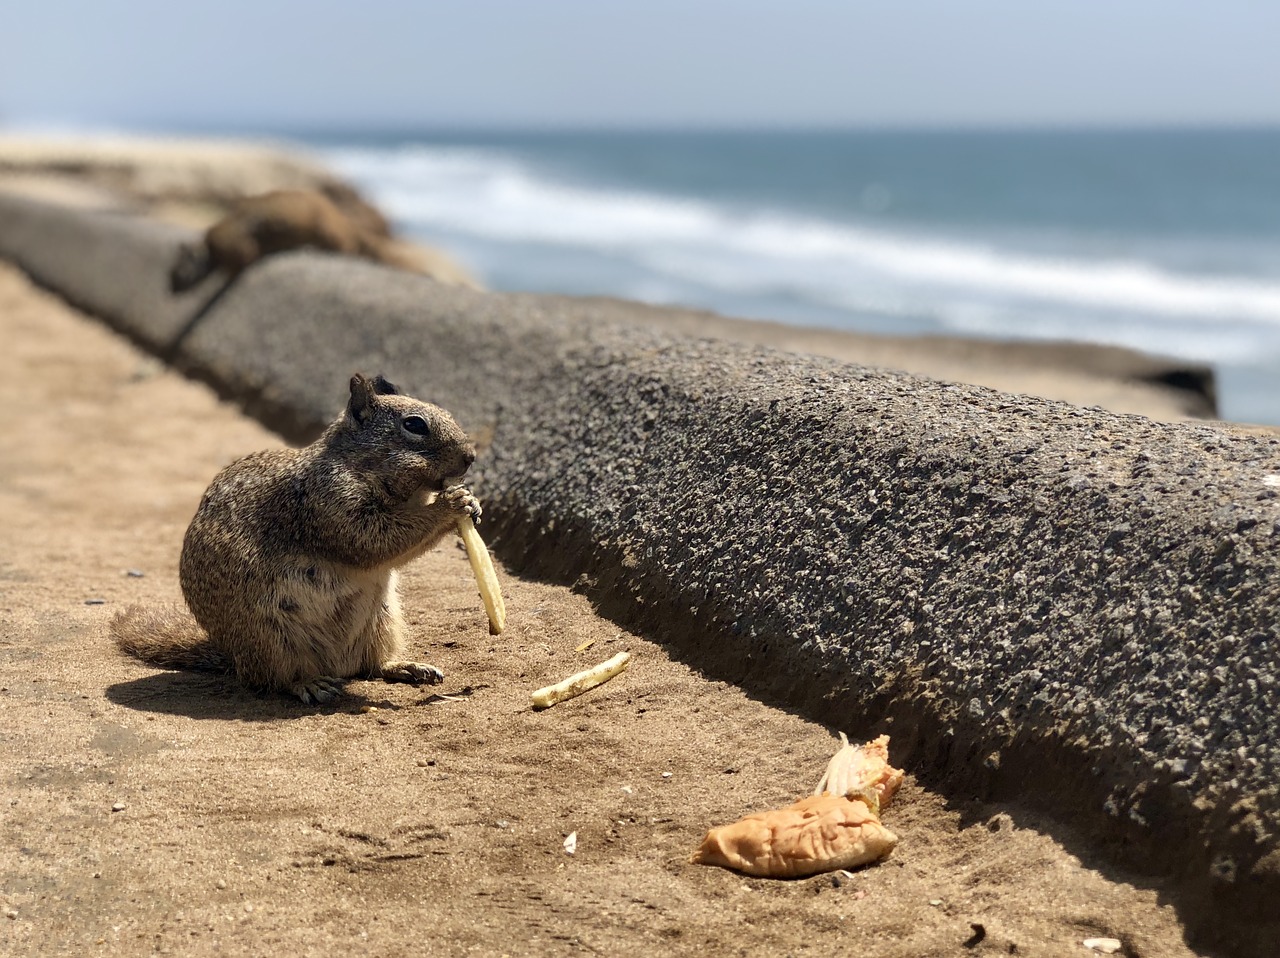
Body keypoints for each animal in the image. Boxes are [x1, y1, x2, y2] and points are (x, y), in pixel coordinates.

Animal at [108, 373, 481, 701]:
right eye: (414, 425)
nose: (471, 456)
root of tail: (233, 656)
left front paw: (473, 503)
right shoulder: (326, 503)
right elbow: (373, 540)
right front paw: (450, 505)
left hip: (383, 622)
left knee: (371, 667)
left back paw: (407, 667)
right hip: (269, 638)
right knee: (273, 679)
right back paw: (309, 684)